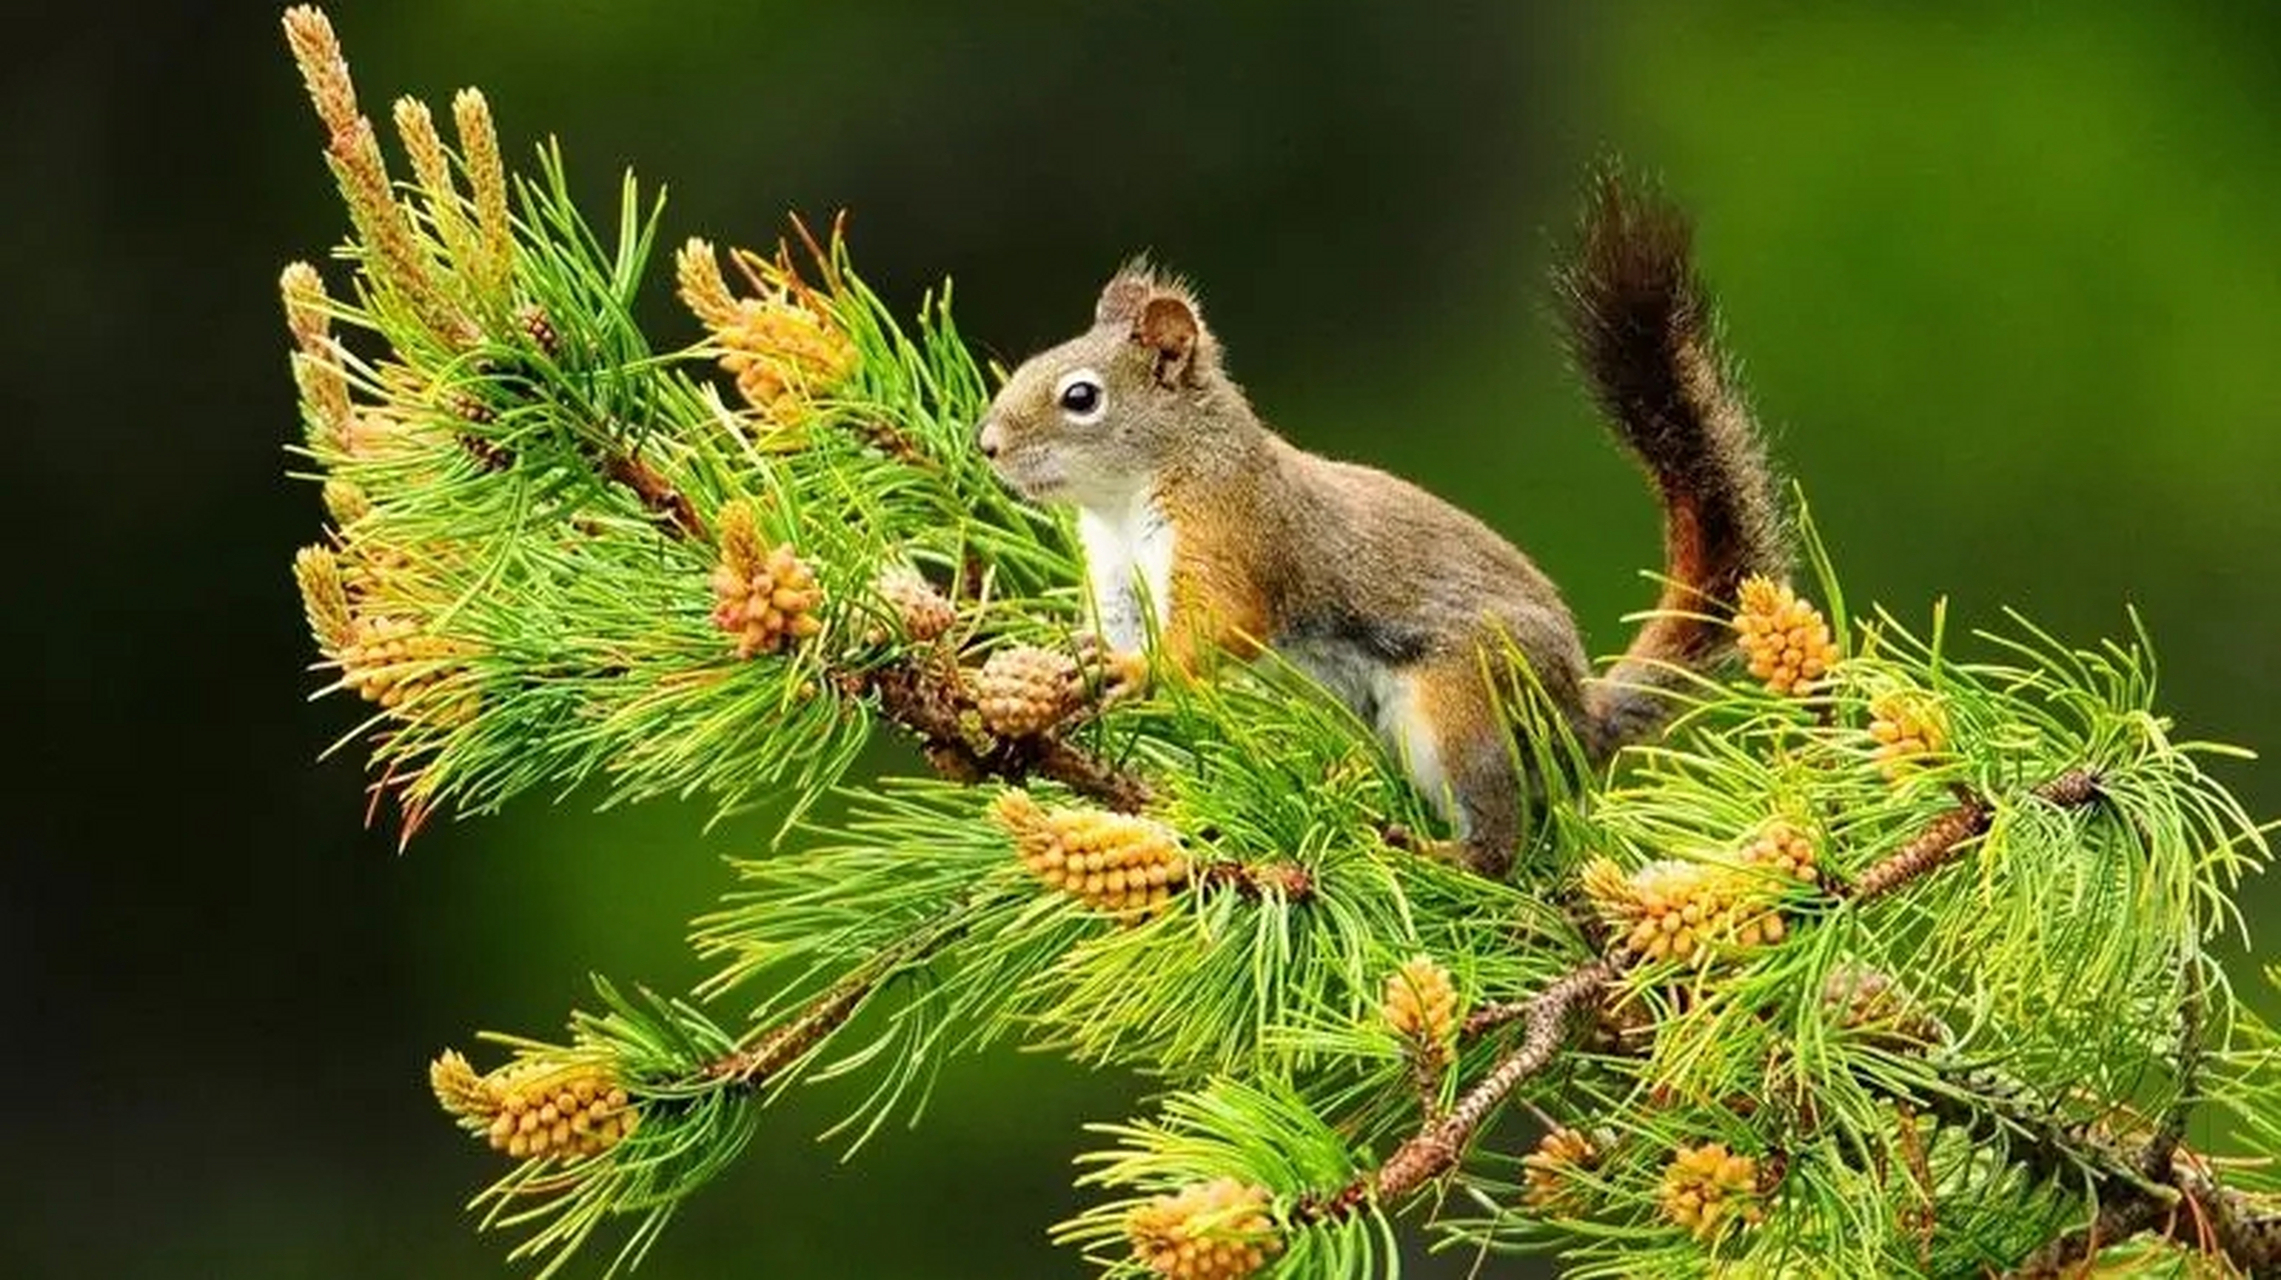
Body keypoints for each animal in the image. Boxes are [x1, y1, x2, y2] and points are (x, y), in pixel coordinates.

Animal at [971, 172, 1788, 876]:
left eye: (1081, 397)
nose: (987, 445)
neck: (1126, 499)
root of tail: (1578, 718)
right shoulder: (1115, 576)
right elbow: (1113, 628)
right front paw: (1078, 666)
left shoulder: (1231, 533)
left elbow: (1219, 625)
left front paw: (1140, 670)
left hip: (1462, 703)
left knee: (1499, 837)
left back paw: (1440, 855)